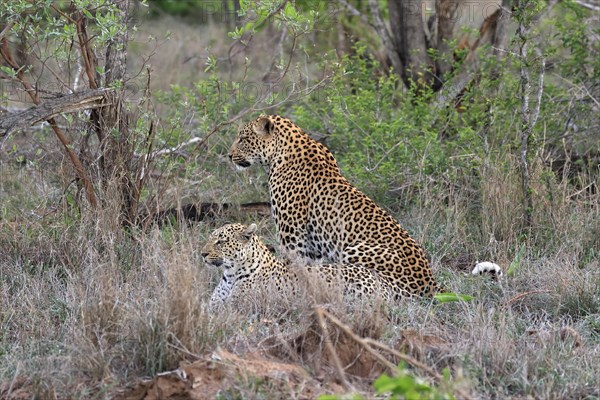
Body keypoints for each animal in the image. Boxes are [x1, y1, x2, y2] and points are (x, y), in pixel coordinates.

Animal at [202, 223, 398, 308]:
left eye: (221, 242)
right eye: (210, 238)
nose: (202, 253)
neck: (230, 275)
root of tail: (384, 282)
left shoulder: (236, 306)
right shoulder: (214, 305)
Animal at [229, 114, 440, 296]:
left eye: (243, 139)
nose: (229, 156)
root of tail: (432, 284)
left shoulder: (292, 236)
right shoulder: (311, 248)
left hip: (353, 251)